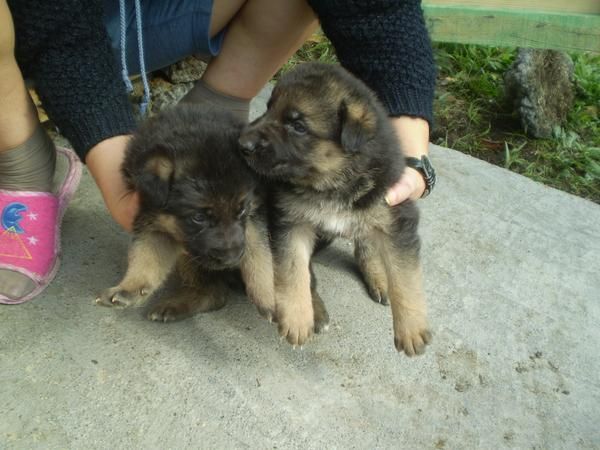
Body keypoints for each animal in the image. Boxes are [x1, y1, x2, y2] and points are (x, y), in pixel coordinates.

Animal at [97, 104, 276, 324]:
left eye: (241, 209)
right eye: (198, 218)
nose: (231, 259)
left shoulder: (255, 214)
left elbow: (259, 254)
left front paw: (269, 298)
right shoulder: (153, 220)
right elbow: (146, 256)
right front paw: (128, 289)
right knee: (214, 292)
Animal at [238, 62, 432, 356]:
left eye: (298, 125)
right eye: (269, 108)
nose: (242, 143)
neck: (331, 183)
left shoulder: (396, 218)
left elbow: (405, 276)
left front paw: (411, 328)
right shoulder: (290, 222)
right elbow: (293, 270)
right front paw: (297, 318)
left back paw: (377, 275)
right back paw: (315, 311)